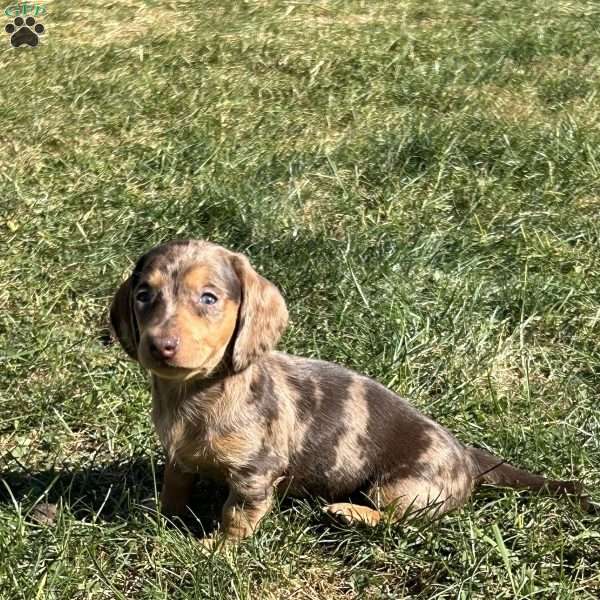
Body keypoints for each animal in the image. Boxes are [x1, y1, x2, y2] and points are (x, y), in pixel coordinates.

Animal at [110, 241, 584, 540]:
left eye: (208, 298)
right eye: (143, 294)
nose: (160, 345)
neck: (195, 394)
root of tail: (467, 456)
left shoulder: (255, 474)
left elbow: (236, 517)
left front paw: (215, 550)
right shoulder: (178, 458)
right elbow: (174, 488)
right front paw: (162, 519)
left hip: (401, 488)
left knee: (398, 520)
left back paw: (349, 513)